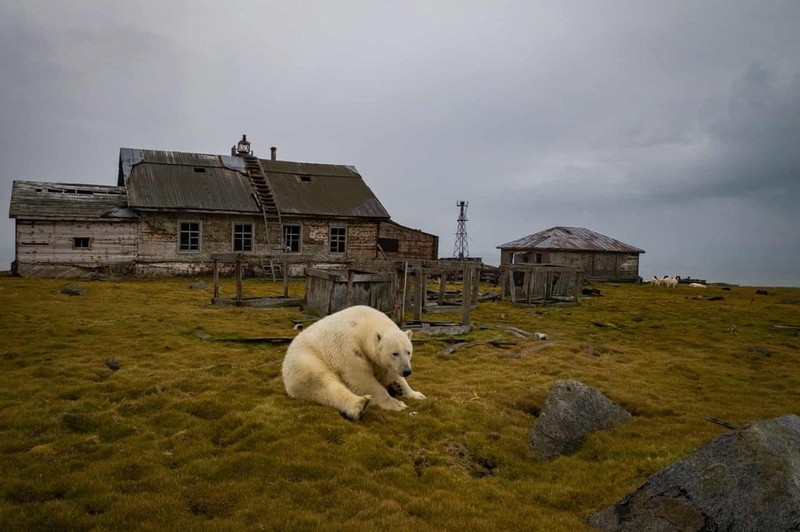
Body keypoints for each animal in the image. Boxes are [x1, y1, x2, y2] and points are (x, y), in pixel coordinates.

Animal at [284, 306, 428, 422]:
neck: (362, 323)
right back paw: (359, 404)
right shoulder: (348, 347)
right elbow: (360, 377)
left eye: (408, 351)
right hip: (307, 361)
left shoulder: (378, 361)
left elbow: (389, 372)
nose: (407, 371)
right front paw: (396, 404)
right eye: (395, 353)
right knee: (323, 383)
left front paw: (415, 394)